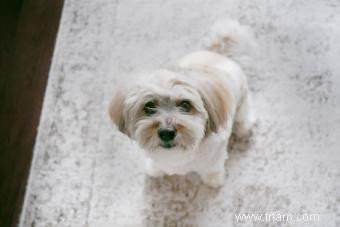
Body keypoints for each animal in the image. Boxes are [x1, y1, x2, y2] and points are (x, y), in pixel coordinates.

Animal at [110, 19, 256, 186]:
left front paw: (214, 181)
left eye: (185, 105)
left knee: (243, 121)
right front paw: (154, 170)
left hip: (242, 106)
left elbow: (212, 170)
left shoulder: (214, 160)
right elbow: (157, 166)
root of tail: (219, 54)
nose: (166, 132)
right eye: (149, 106)